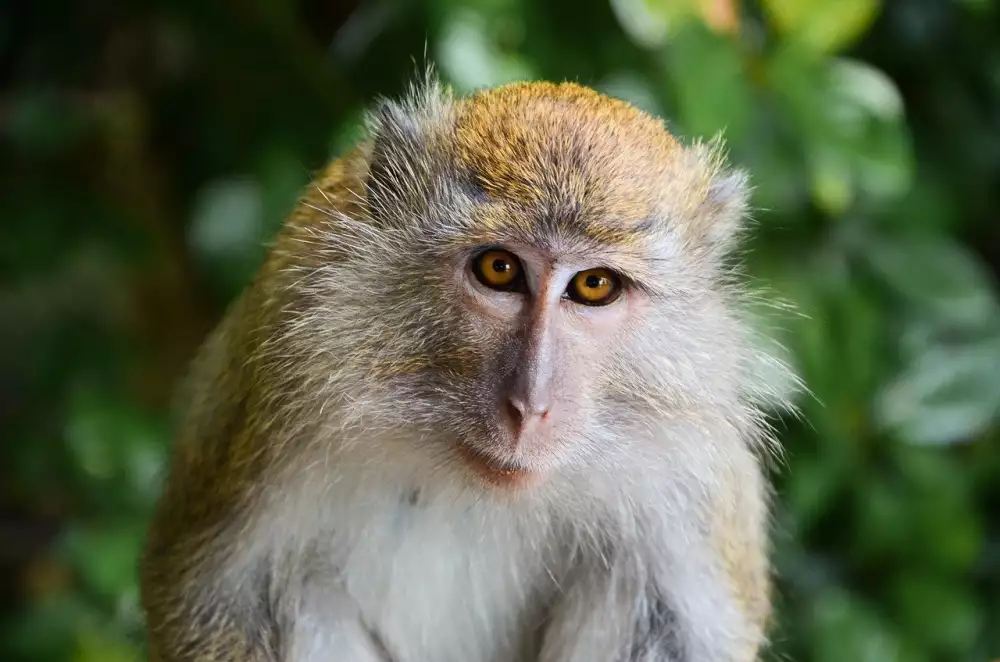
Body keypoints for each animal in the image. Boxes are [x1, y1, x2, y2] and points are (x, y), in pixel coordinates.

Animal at [143, 74, 796, 662]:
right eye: (499, 269)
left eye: (594, 285)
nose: (530, 406)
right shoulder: (285, 367)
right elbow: (218, 597)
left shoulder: (695, 468)